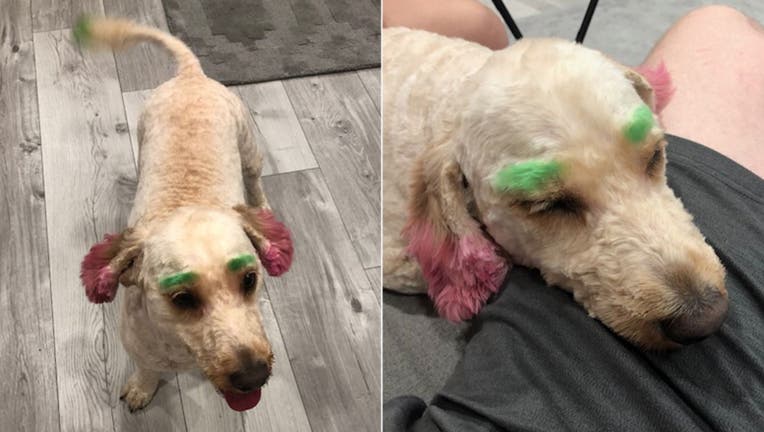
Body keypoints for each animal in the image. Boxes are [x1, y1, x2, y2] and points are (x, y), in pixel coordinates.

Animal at [77, 17, 292, 412]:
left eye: (249, 279)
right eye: (182, 299)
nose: (253, 377)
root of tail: (191, 75)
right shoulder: (141, 349)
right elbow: (147, 370)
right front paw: (142, 388)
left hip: (248, 147)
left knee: (255, 180)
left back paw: (261, 205)